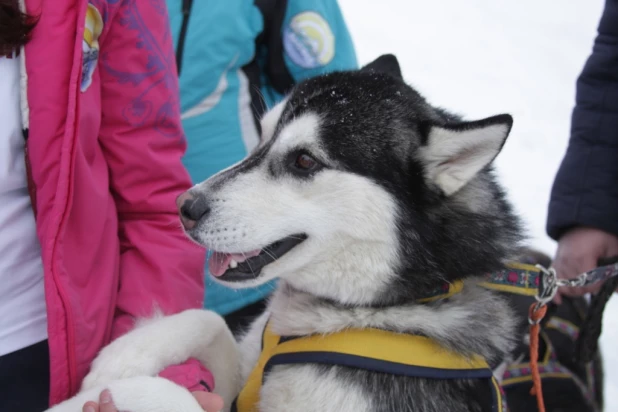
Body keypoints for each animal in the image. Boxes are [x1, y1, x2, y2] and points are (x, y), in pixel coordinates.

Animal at [48, 54, 524, 412]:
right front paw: (119, 359)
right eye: (260, 136)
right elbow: (208, 322)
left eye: (304, 161)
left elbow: (171, 394)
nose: (184, 207)